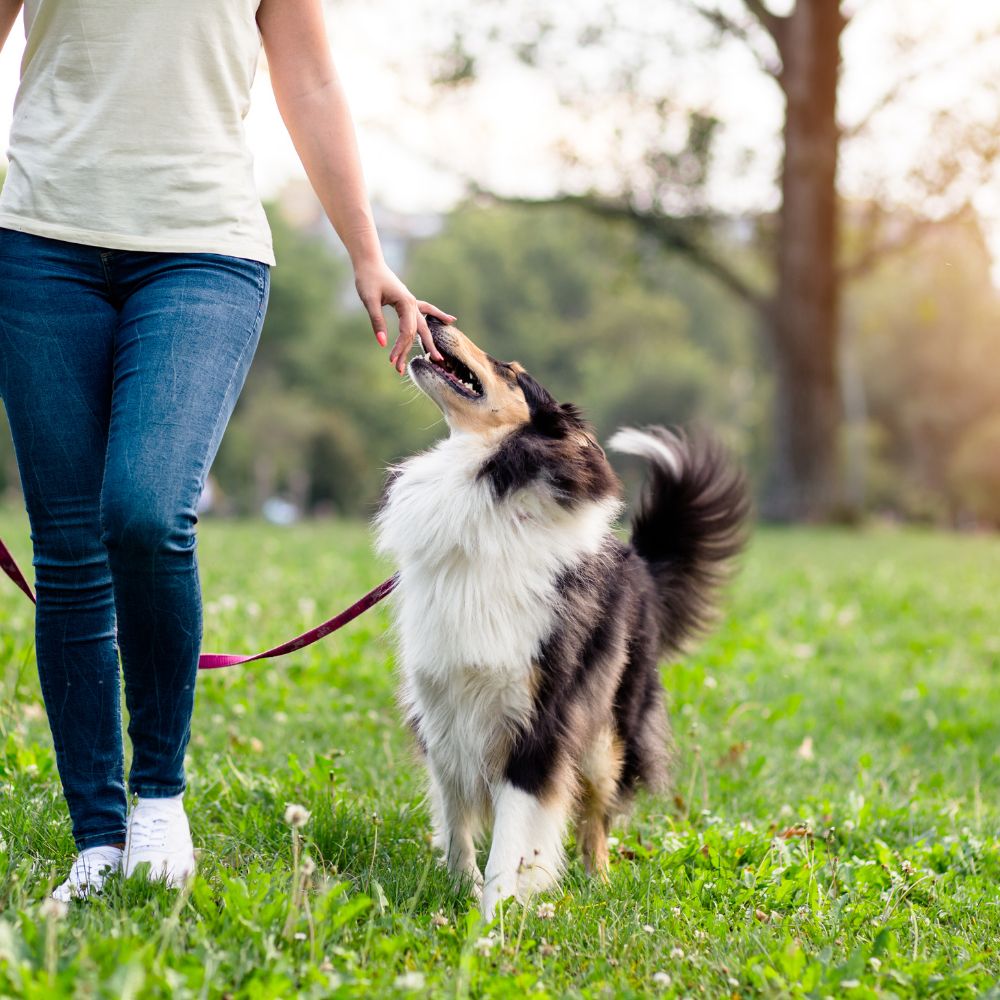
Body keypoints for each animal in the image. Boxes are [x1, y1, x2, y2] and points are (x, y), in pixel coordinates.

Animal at [376, 316, 752, 916]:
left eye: (512, 371)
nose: (434, 319)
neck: (487, 488)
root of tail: (639, 559)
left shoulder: (542, 720)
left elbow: (513, 833)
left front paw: (493, 919)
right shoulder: (442, 706)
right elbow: (456, 817)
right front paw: (461, 888)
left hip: (606, 734)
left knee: (597, 817)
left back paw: (598, 883)